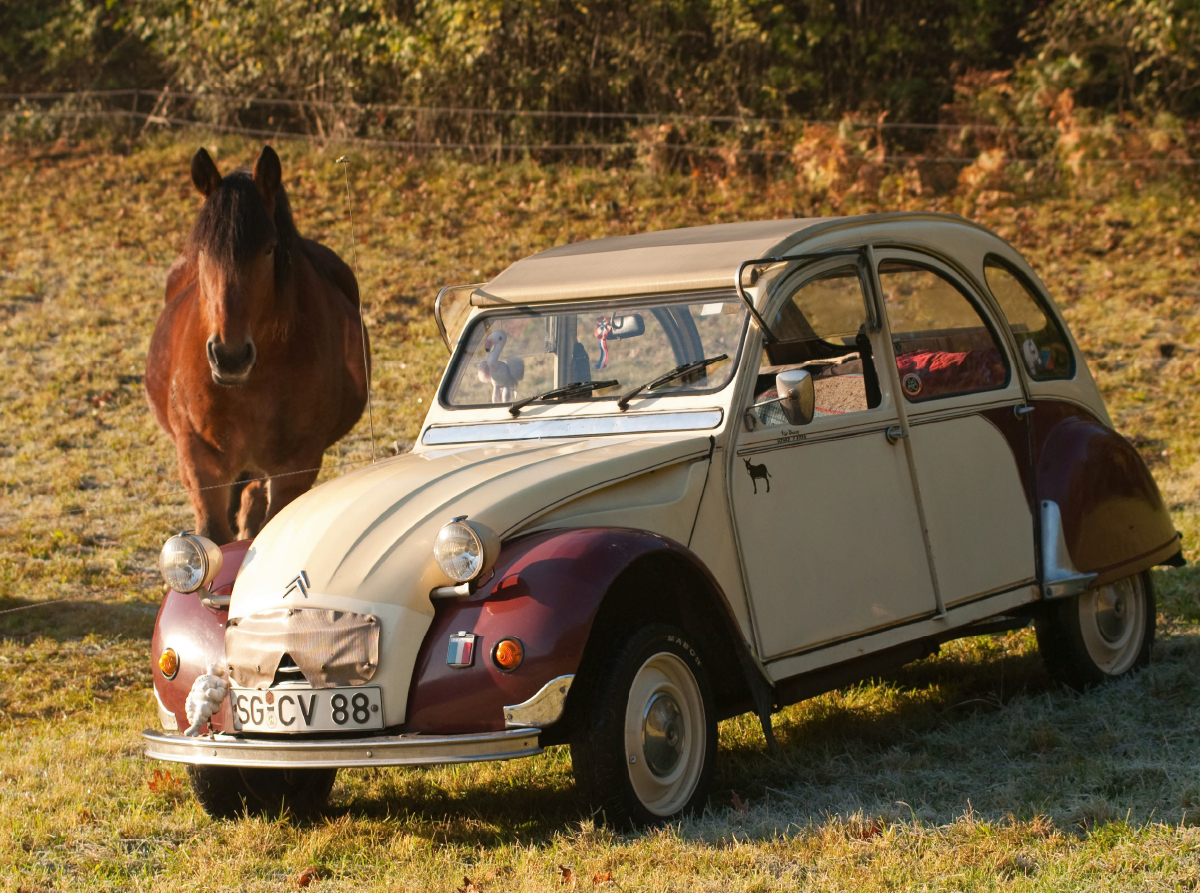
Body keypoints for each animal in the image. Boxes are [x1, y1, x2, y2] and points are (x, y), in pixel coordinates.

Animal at [147, 146, 367, 544]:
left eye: (268, 249)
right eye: (204, 252)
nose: (230, 357)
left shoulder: (295, 467)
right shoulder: (201, 462)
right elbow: (213, 535)